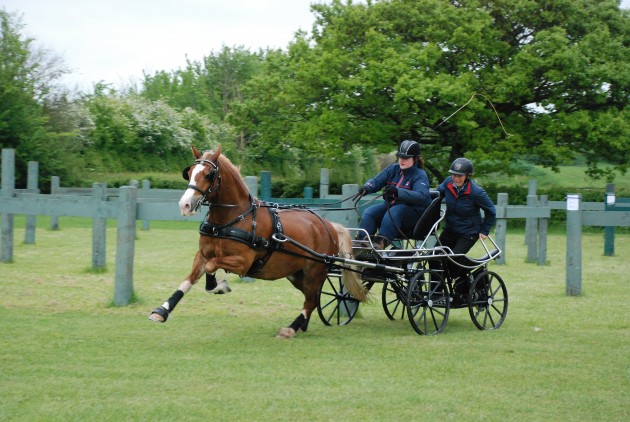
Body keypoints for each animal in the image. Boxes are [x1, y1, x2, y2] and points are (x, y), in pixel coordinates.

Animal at [149, 147, 370, 338]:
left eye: (208, 174)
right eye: (189, 172)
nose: (185, 205)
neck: (234, 218)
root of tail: (329, 225)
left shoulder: (242, 262)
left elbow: (212, 267)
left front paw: (219, 286)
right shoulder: (202, 255)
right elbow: (189, 280)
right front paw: (162, 310)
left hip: (315, 270)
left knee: (311, 299)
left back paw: (291, 328)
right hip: (296, 274)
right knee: (312, 298)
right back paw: (301, 326)